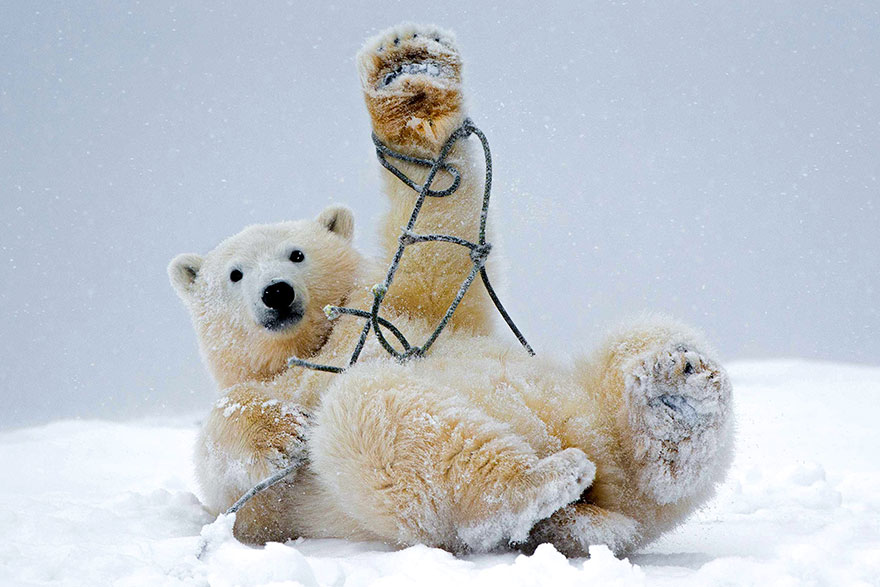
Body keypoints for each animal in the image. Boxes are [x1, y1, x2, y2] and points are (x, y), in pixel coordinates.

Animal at [168, 23, 734, 556]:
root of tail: (607, 506)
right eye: (235, 274)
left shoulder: (400, 307)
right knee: (376, 416)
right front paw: (283, 430)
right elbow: (225, 464)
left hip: (586, 405)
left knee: (638, 350)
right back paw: (548, 480)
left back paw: (678, 390)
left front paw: (408, 75)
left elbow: (437, 242)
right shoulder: (263, 481)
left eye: (296, 254)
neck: (319, 342)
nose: (277, 293)